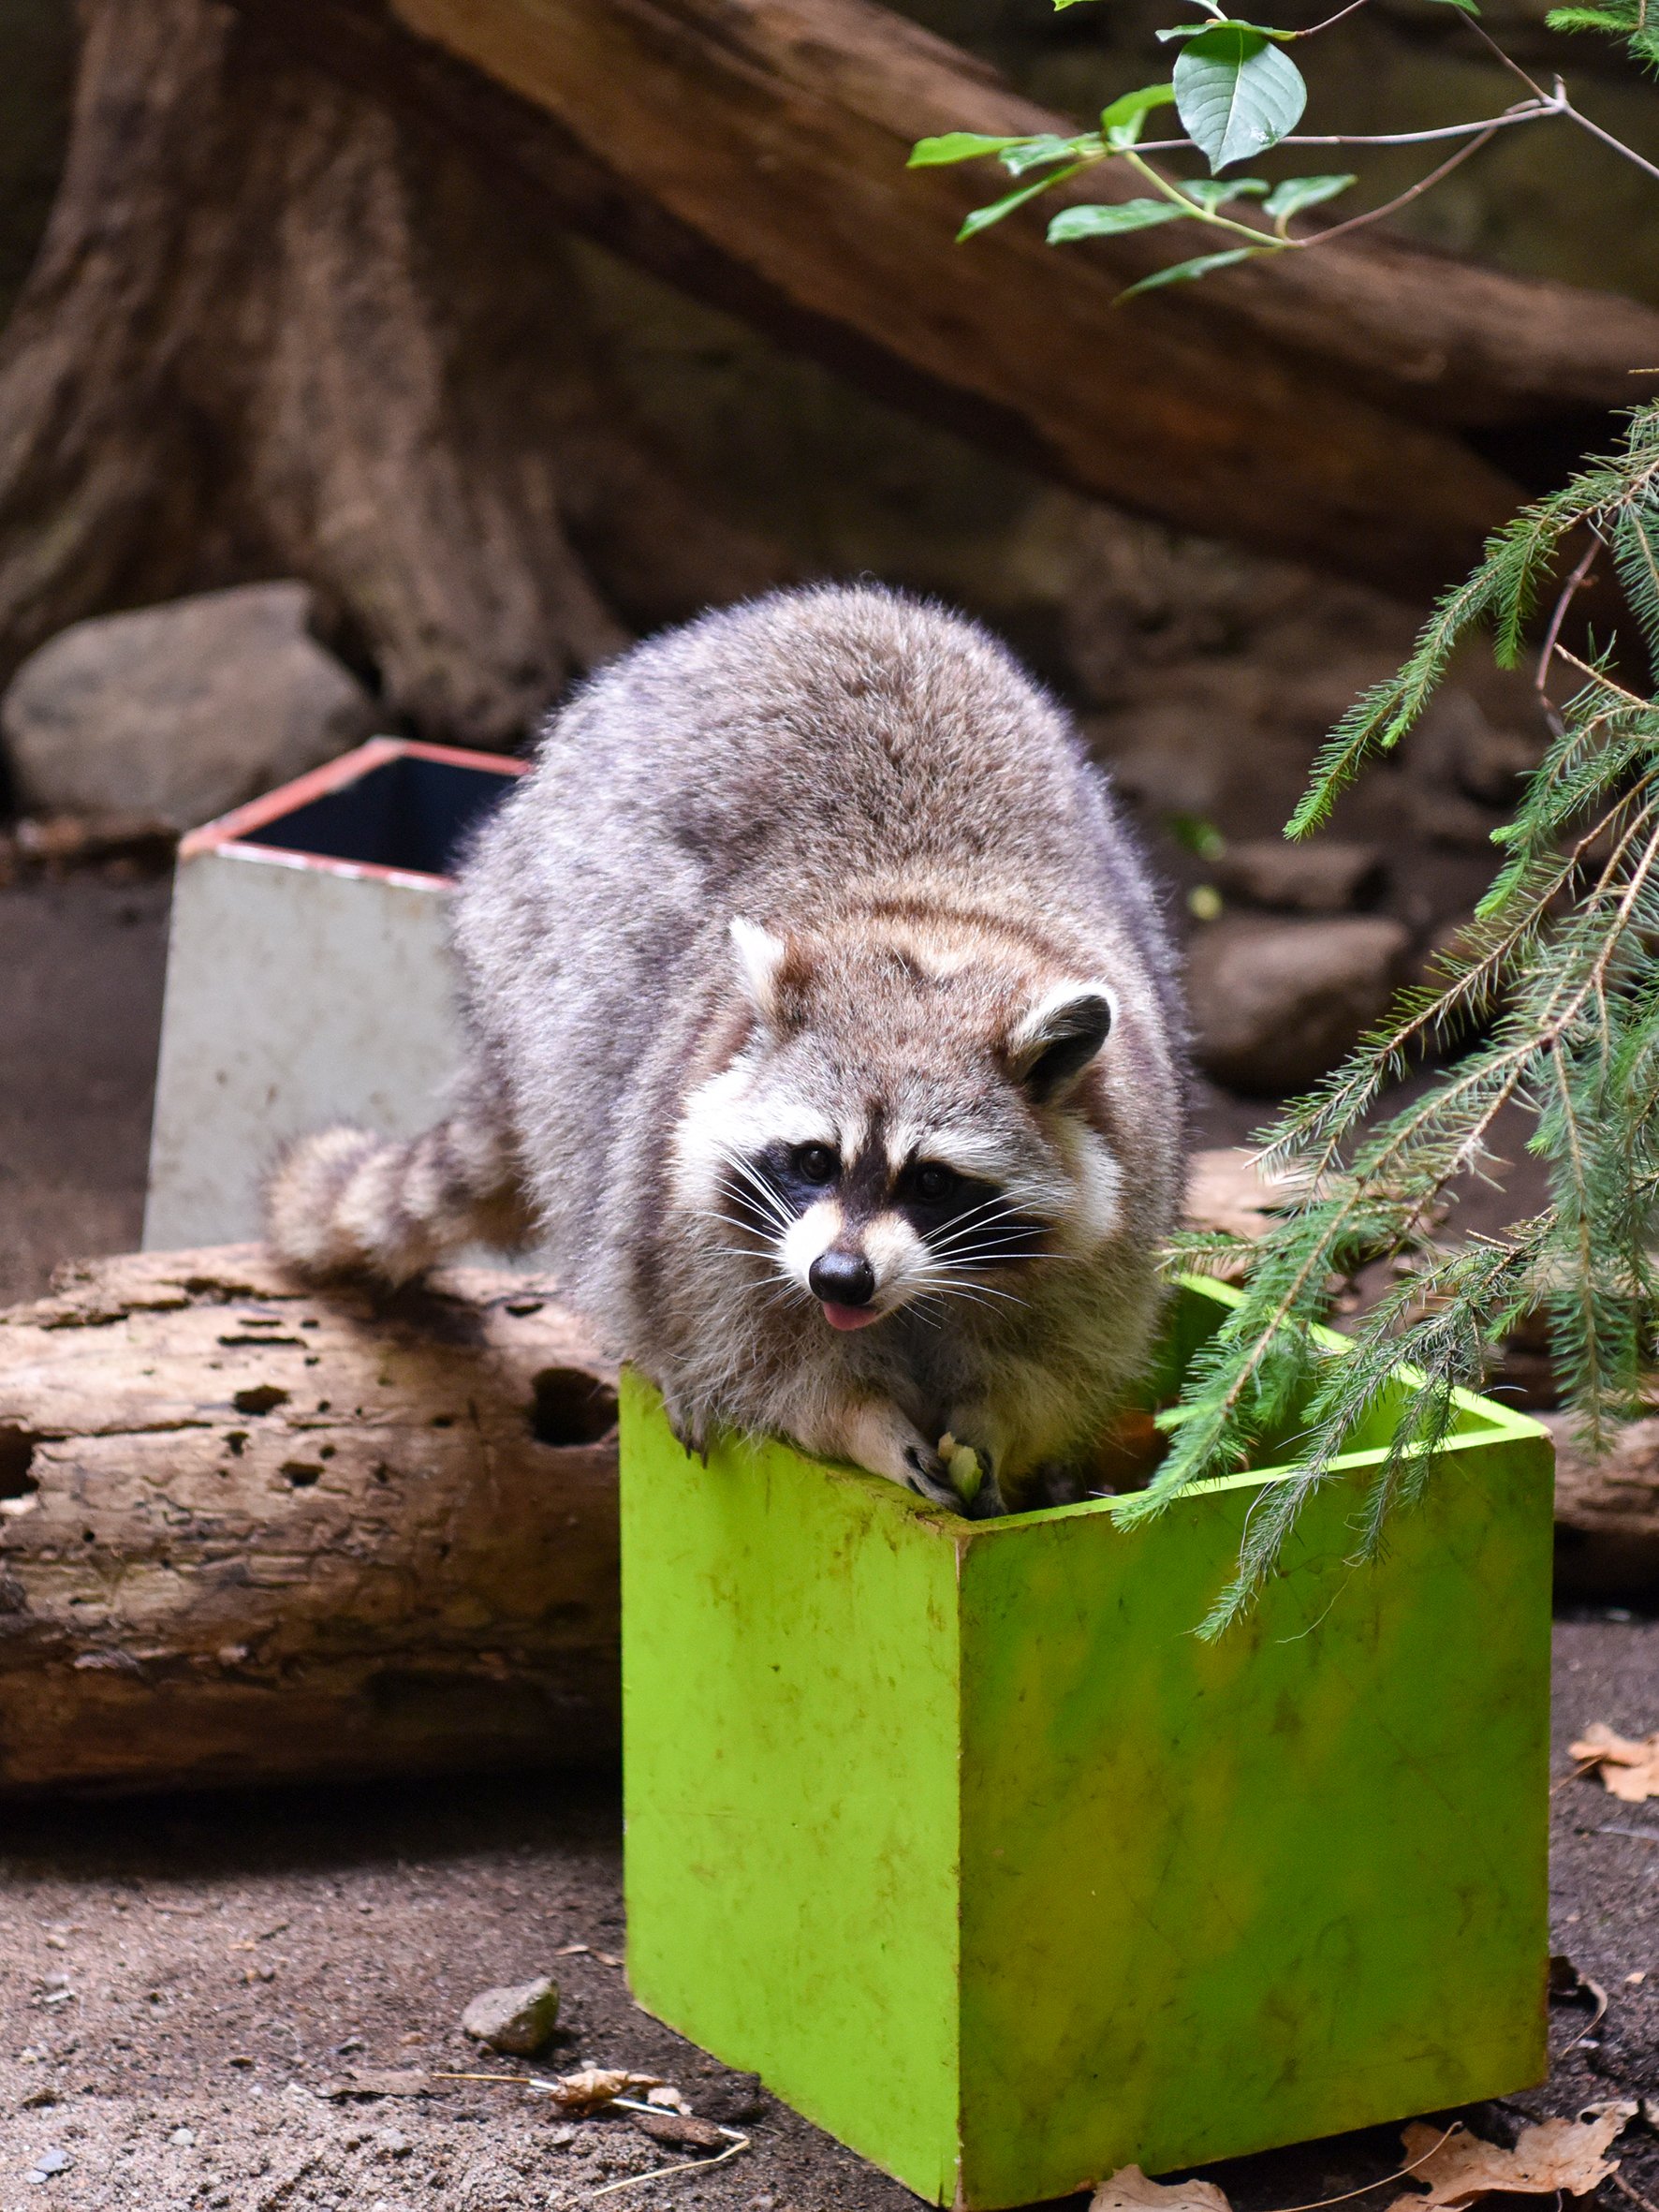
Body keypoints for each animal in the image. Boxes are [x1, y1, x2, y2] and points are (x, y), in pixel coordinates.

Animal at [270, 583, 1185, 1522]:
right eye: (813, 1159)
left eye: (933, 1181)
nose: (840, 1278)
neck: (931, 932)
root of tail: (818, 602)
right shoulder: (692, 1219)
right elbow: (768, 1366)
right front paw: (861, 1422)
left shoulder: (1118, 1204)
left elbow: (1049, 1364)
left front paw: (995, 1432)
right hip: (536, 920)